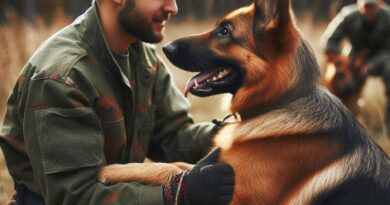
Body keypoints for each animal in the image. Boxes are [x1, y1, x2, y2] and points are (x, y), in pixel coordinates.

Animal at [100, 0, 390, 203]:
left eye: (225, 31)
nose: (166, 47)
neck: (277, 104)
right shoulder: (217, 168)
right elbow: (176, 167)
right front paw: (119, 170)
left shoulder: (238, 196)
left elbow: (168, 171)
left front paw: (107, 171)